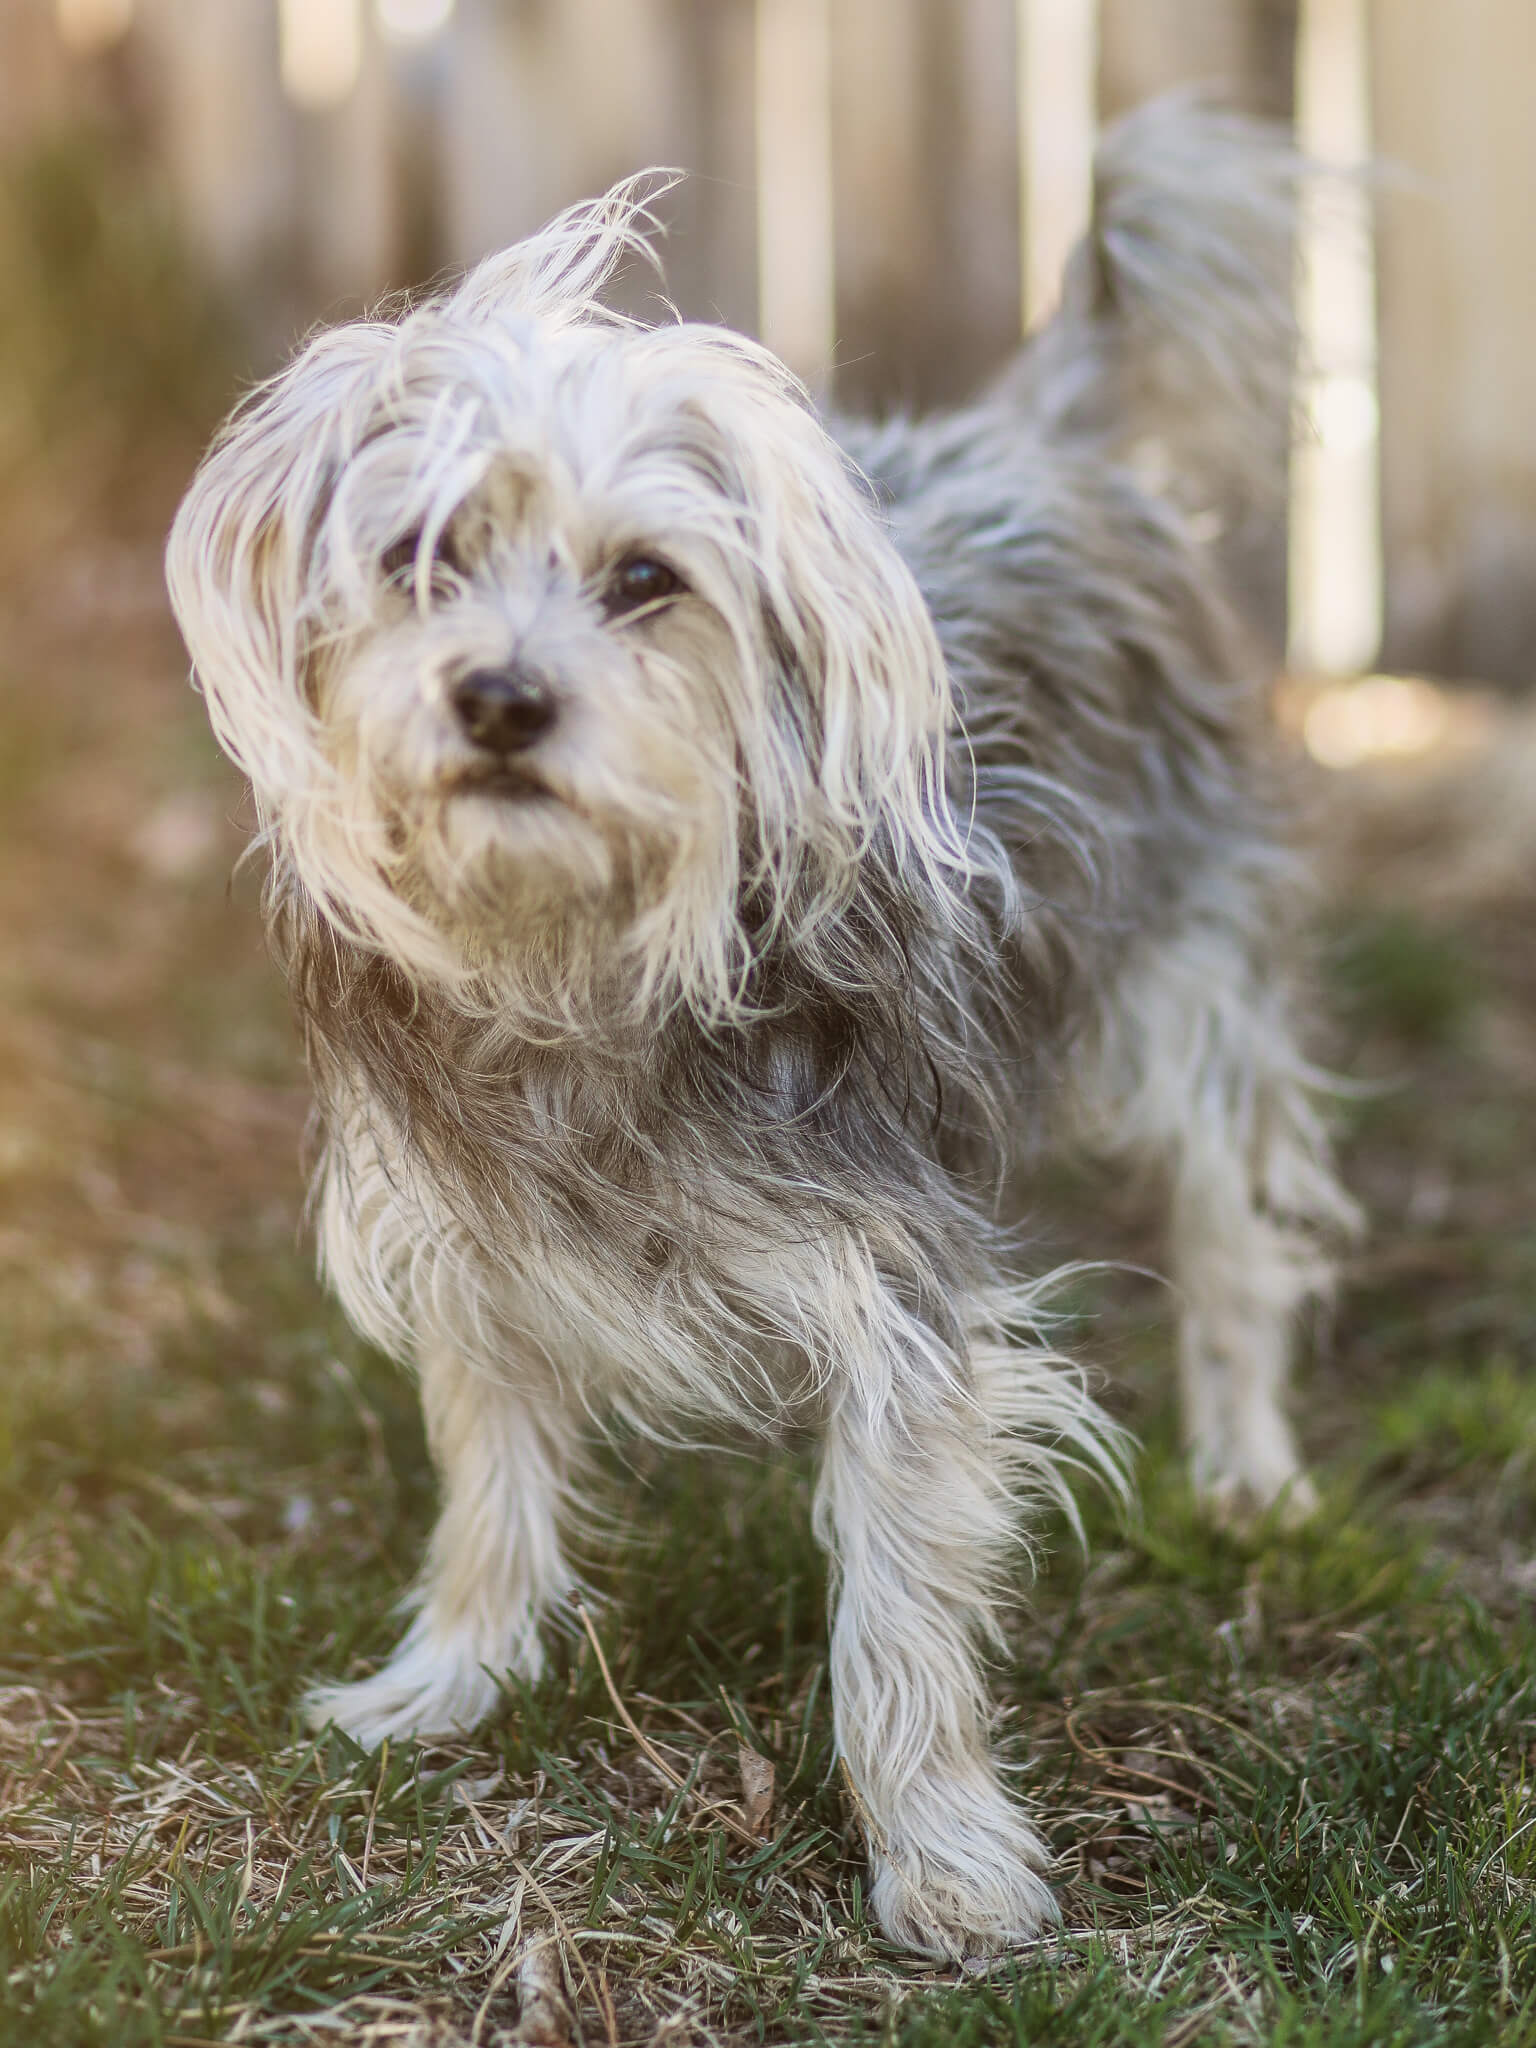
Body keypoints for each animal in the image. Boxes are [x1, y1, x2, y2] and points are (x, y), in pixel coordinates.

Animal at [165, 103, 1359, 1957]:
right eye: (420, 556)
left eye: (646, 580)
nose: (498, 697)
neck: (580, 958)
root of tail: (1038, 440)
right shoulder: (471, 1245)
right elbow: (487, 1486)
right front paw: (445, 1681)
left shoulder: (899, 1298)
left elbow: (899, 1614)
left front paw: (938, 1854)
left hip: (1196, 979)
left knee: (1235, 1241)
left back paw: (1250, 1469)